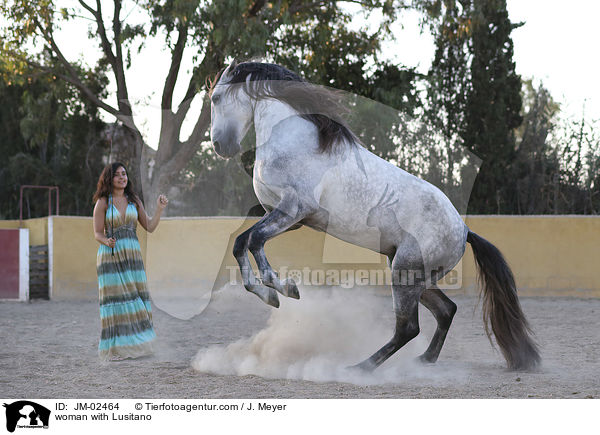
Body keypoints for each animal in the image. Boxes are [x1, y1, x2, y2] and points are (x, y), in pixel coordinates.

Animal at [209, 61, 540, 372]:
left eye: (215, 97)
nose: (220, 147)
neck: (295, 141)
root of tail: (464, 230)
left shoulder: (293, 209)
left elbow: (254, 241)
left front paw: (284, 290)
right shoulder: (289, 218)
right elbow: (241, 242)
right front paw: (269, 295)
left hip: (404, 274)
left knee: (408, 328)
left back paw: (361, 367)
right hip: (414, 276)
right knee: (446, 311)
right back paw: (423, 360)